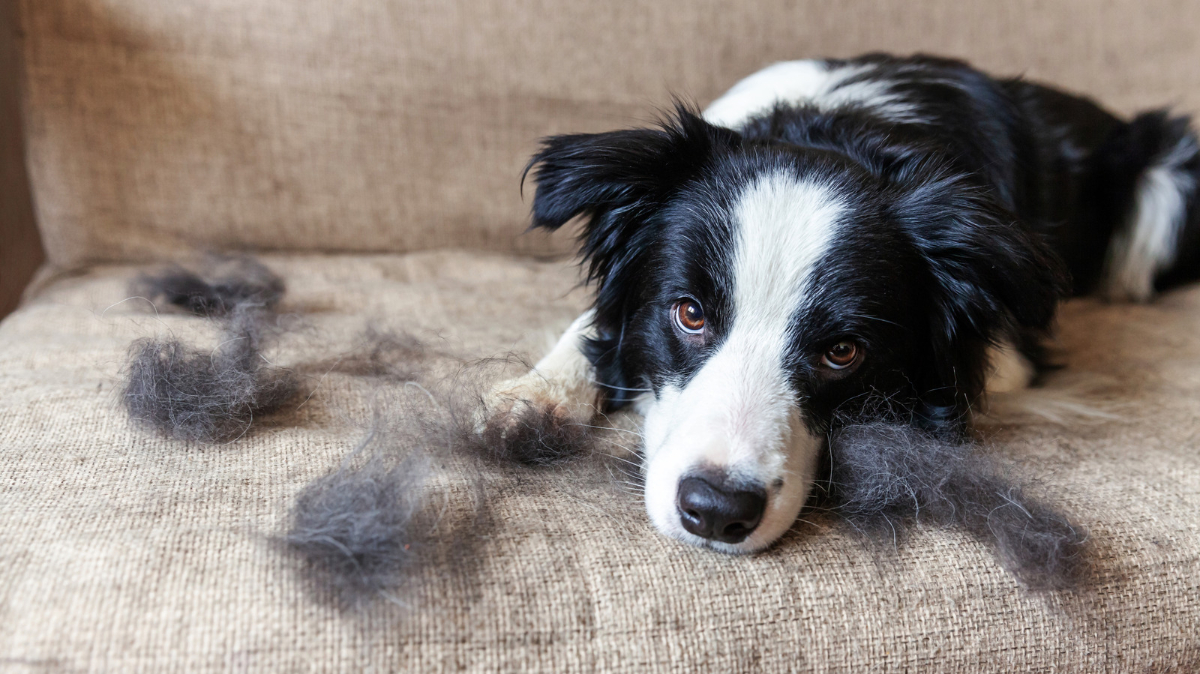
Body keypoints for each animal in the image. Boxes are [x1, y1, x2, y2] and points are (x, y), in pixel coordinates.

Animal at [480, 53, 1200, 551]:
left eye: (843, 351)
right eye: (689, 313)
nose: (716, 512)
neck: (836, 132)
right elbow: (593, 327)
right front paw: (535, 396)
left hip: (1167, 181)